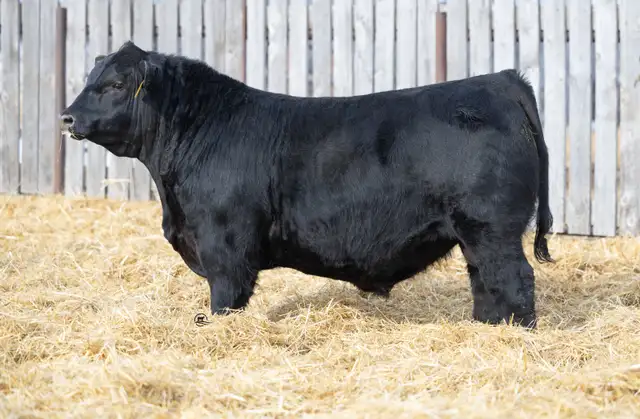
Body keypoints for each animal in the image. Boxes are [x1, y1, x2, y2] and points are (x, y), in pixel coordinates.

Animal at [60, 41, 554, 329]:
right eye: (90, 79)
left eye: (116, 84)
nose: (67, 117)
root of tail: (501, 80)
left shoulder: (225, 240)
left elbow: (226, 295)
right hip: (475, 236)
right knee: (485, 280)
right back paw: (484, 326)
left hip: (490, 228)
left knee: (514, 279)